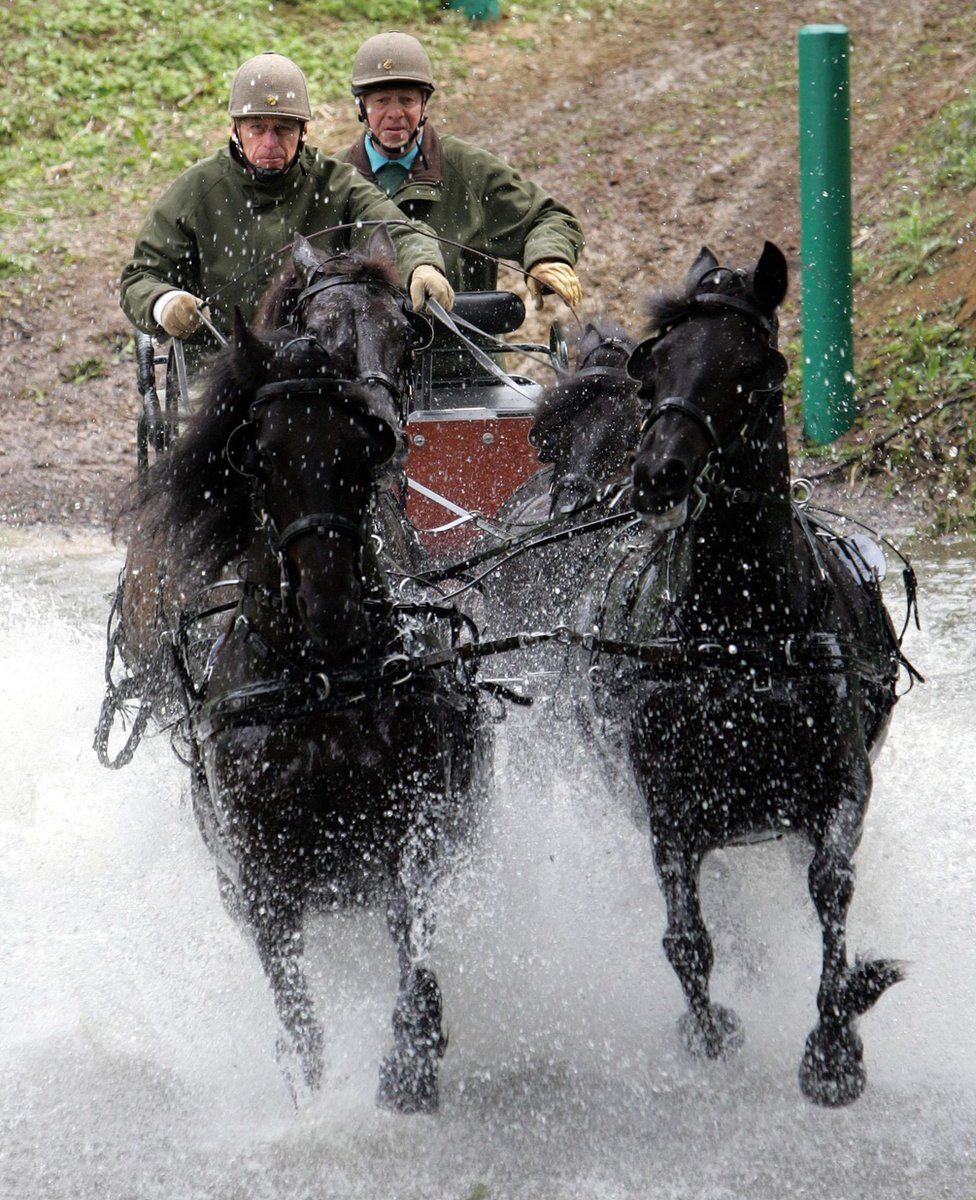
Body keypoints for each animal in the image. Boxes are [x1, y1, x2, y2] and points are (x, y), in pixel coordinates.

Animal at [115, 234, 492, 1113]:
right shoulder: (258, 879)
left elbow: (416, 952)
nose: (328, 599)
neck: (320, 678)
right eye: (259, 456)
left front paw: (409, 1069)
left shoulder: (418, 826)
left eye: (409, 337)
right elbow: (299, 1018)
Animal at [593, 243, 907, 1104]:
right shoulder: (667, 808)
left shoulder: (841, 786)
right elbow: (686, 938)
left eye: (753, 371)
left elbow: (831, 886)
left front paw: (836, 1041)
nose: (659, 473)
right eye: (656, 360)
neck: (738, 638)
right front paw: (710, 1030)